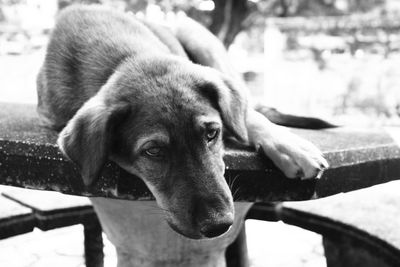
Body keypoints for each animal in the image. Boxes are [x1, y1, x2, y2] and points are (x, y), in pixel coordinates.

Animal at [37, 5, 330, 241]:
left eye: (212, 134)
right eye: (153, 151)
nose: (219, 225)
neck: (124, 57)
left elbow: (248, 117)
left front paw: (290, 147)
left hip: (194, 32)